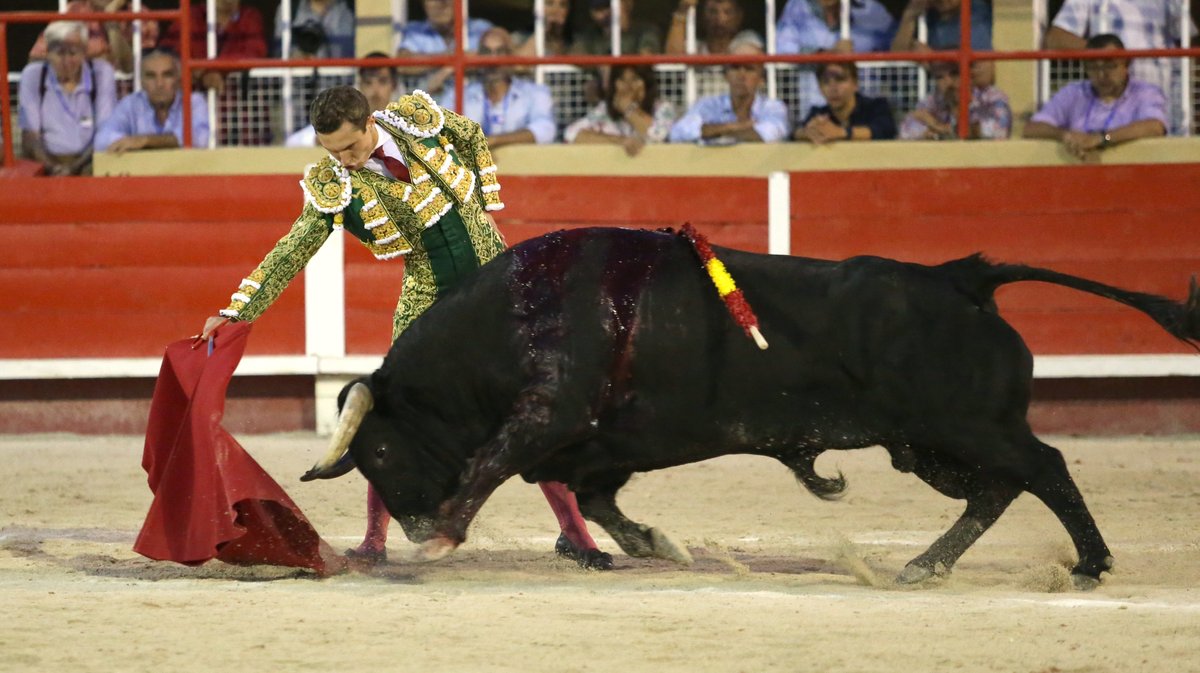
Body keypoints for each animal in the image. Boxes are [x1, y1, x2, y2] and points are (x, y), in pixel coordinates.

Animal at [302, 225, 1200, 583]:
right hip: (930, 446)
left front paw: (445, 533)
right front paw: (658, 544)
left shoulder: (549, 414)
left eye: (378, 451)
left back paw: (1089, 563)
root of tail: (960, 277)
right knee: (1000, 486)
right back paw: (925, 563)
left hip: (964, 425)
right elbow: (600, 498)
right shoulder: (594, 447)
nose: (413, 521)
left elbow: (493, 463)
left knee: (1043, 466)